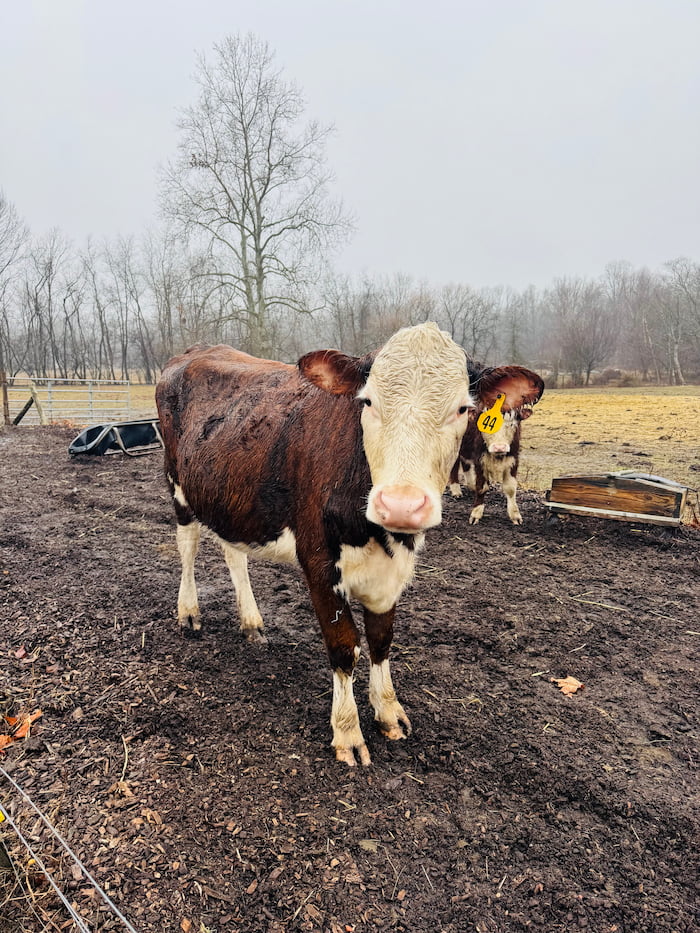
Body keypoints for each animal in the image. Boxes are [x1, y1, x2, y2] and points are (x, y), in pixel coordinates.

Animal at [449, 362, 544, 525]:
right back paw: (456, 490)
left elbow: (510, 488)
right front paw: (476, 514)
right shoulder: (480, 460)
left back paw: (470, 484)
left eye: (512, 423)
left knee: (465, 463)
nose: (499, 447)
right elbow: (482, 487)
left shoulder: (513, 459)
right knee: (454, 466)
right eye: (484, 422)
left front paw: (515, 515)